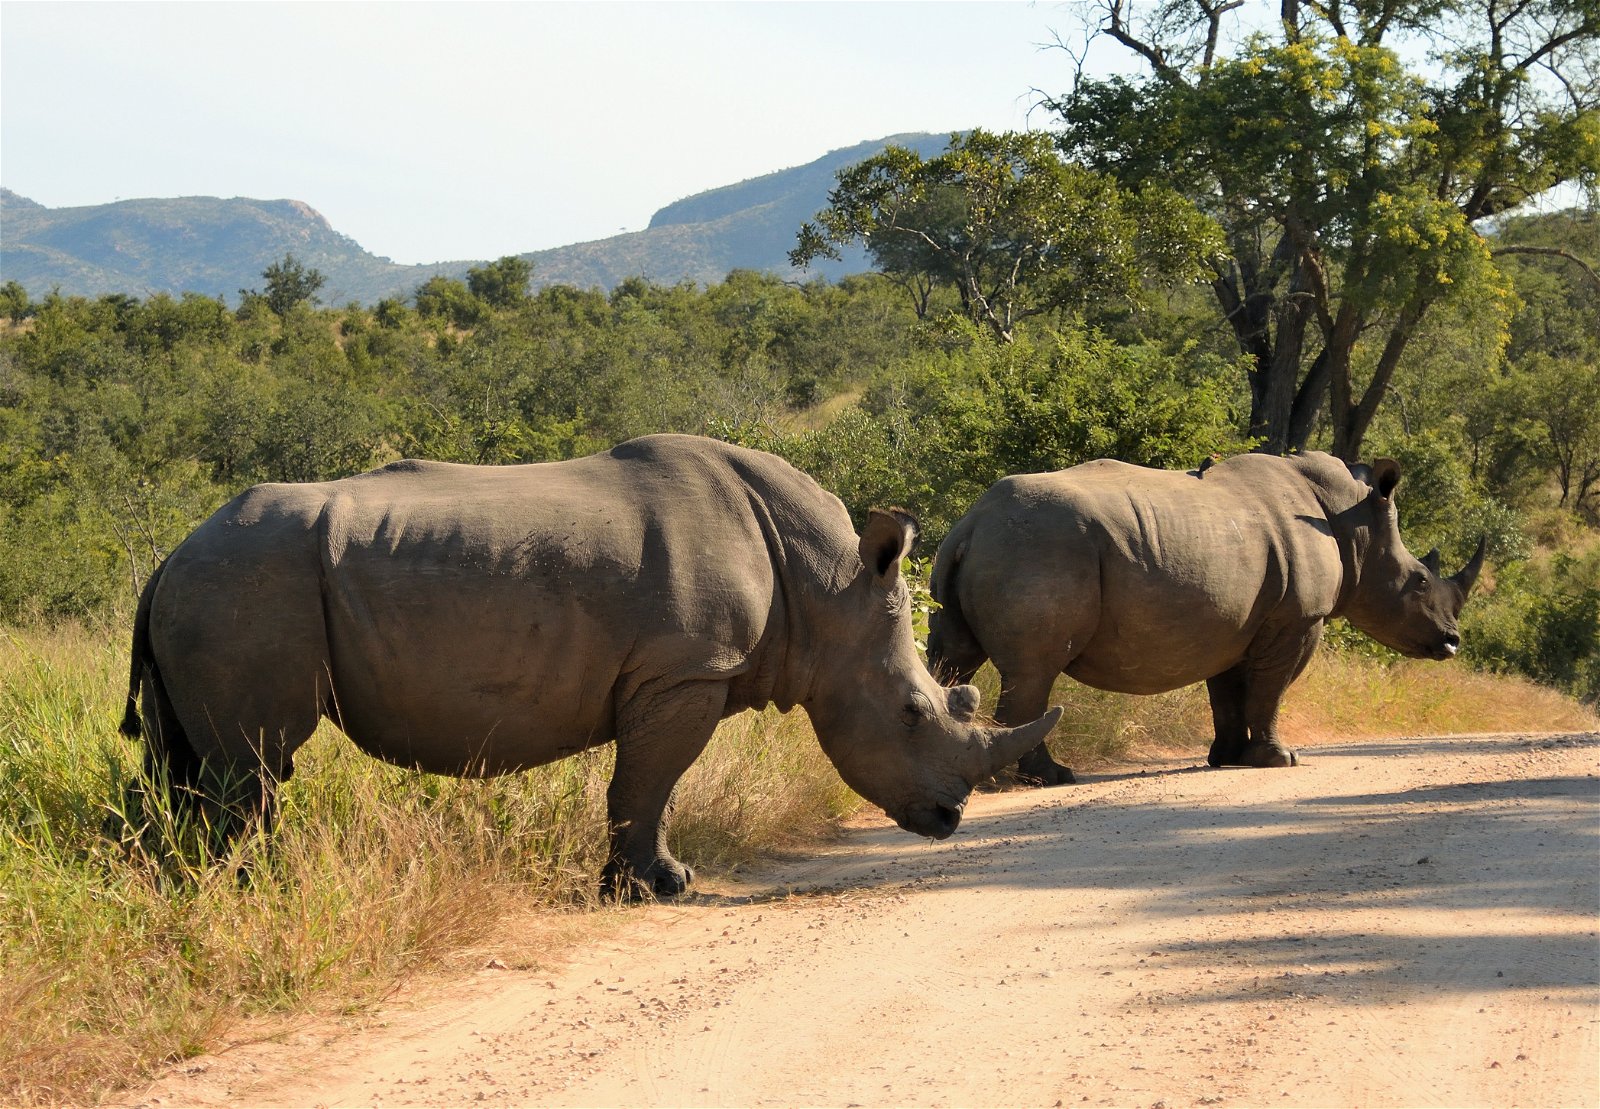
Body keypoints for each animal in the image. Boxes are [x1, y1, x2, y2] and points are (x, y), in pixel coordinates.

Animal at [121, 434, 1060, 899]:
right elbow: (646, 782)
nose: (950, 818)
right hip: (243, 585)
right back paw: (262, 894)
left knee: (201, 767)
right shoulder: (686, 669)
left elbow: (652, 786)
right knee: (252, 766)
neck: (826, 586)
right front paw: (658, 888)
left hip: (216, 584)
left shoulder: (679, 673)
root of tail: (169, 555)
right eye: (913, 712)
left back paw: (199, 889)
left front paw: (651, 880)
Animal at [927, 452, 1484, 783]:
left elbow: (1229, 693)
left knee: (954, 662)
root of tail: (971, 522)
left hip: (985, 550)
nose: (1452, 642)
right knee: (1033, 671)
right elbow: (1270, 690)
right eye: (1419, 581)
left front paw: (1227, 758)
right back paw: (1047, 777)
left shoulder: (1232, 622)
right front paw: (1279, 760)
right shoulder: (1298, 617)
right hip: (1039, 549)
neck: (1353, 525)